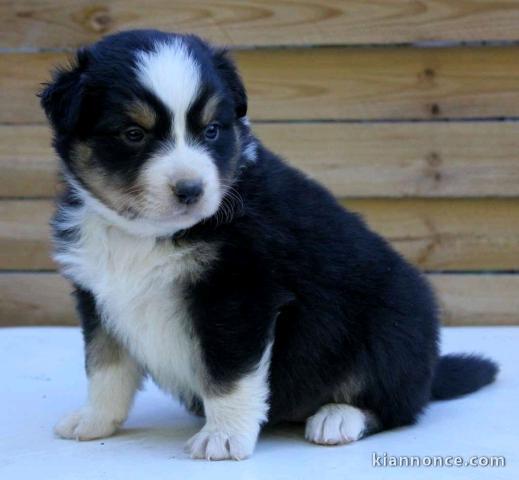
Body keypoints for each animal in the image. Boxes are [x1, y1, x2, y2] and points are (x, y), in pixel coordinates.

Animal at [41, 31, 500, 462]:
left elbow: (229, 375)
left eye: (211, 130)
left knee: (396, 406)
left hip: (395, 324)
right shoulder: (98, 294)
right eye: (133, 134)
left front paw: (224, 438)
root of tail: (429, 372)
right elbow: (105, 367)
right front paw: (94, 420)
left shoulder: (239, 294)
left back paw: (338, 417)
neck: (143, 235)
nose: (191, 190)